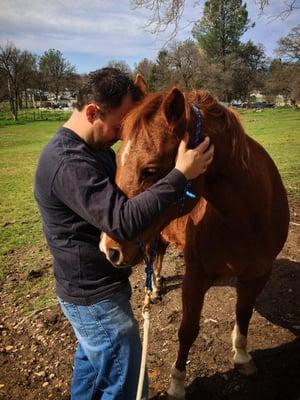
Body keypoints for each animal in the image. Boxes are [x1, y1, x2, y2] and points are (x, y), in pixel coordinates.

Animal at [99, 83, 290, 398]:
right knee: (157, 255)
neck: (247, 218)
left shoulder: (258, 273)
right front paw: (177, 384)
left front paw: (242, 356)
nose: (109, 249)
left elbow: (244, 313)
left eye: (150, 170)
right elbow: (187, 330)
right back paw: (154, 289)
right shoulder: (195, 278)